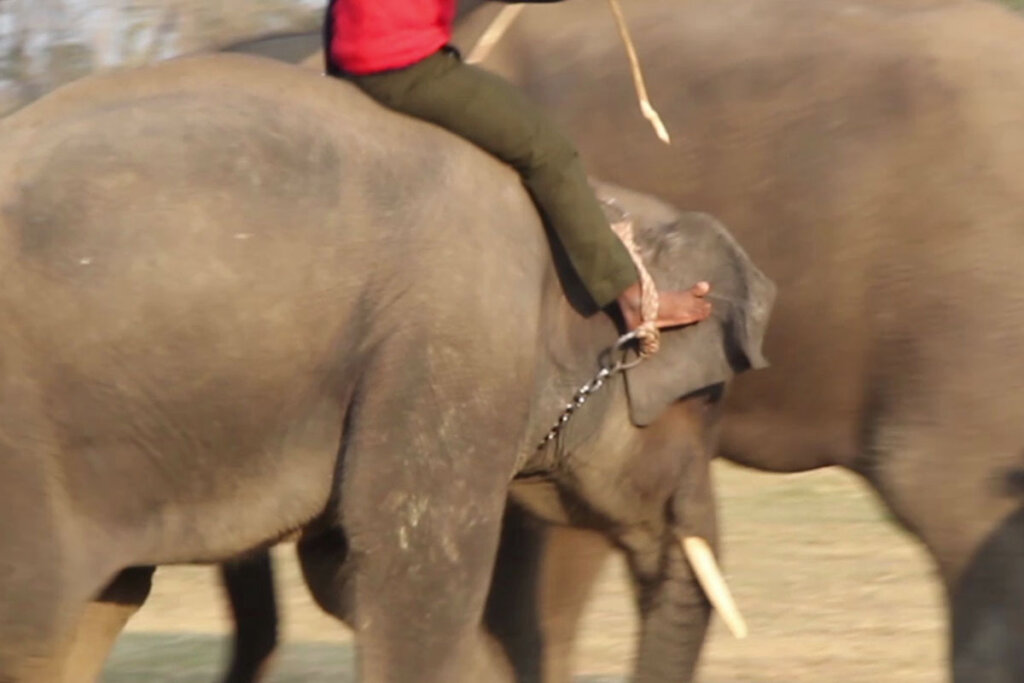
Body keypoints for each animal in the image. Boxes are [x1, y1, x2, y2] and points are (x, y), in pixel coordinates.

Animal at [0, 53, 770, 683]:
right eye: (708, 401)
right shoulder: (452, 341)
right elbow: (415, 570)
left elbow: (344, 567)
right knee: (39, 616)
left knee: (101, 605)